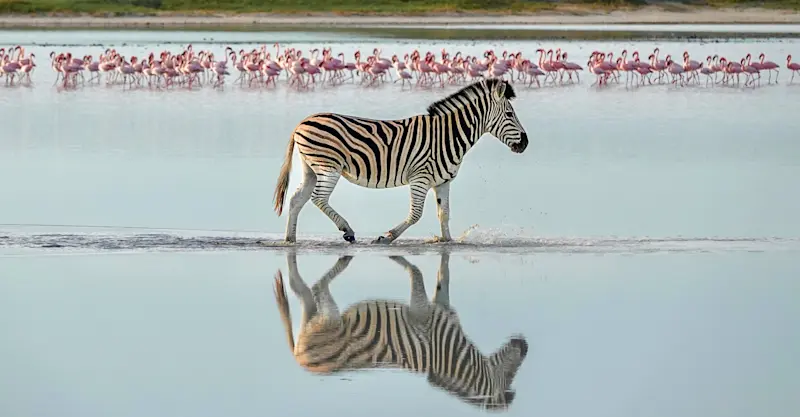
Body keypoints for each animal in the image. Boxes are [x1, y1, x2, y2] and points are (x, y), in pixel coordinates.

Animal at [272, 78, 528, 244]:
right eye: (509, 115)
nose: (525, 143)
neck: (448, 135)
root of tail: (302, 122)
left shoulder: (443, 182)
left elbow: (444, 214)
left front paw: (447, 242)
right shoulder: (420, 178)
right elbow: (415, 214)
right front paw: (387, 237)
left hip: (311, 169)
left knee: (296, 200)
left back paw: (290, 240)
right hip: (328, 167)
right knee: (318, 198)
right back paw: (347, 230)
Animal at [272, 251, 529, 411]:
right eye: (510, 375)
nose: (524, 345)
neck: (452, 354)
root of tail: (299, 358)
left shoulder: (442, 308)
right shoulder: (424, 312)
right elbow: (416, 274)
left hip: (312, 322)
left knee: (305, 300)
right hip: (330, 319)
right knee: (317, 290)